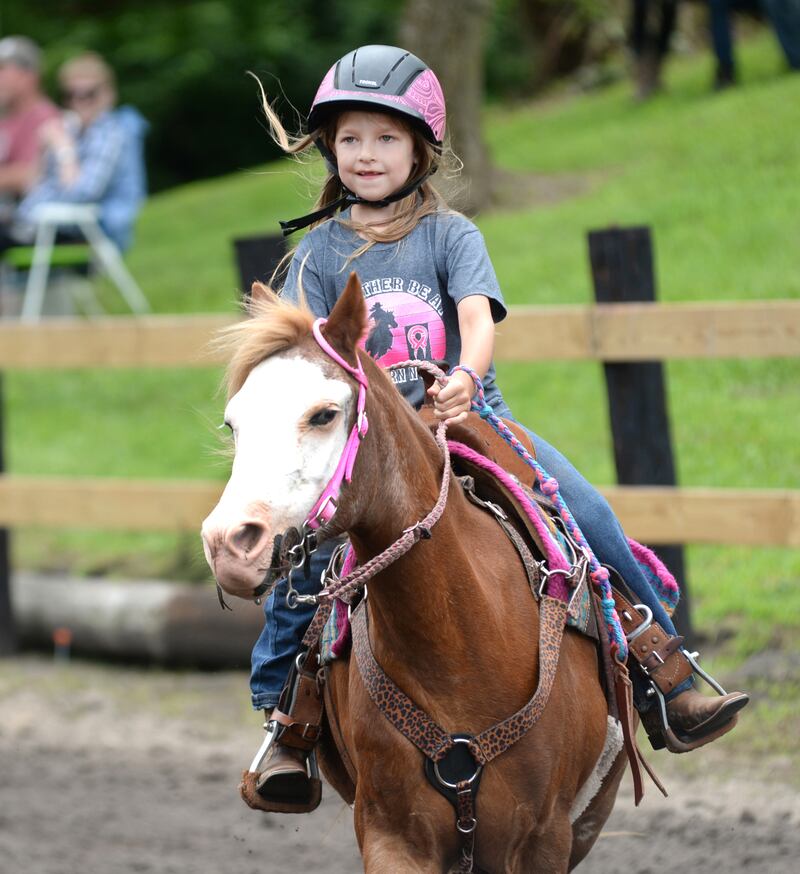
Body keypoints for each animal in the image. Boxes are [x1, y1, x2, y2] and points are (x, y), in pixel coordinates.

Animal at [201, 274, 627, 872]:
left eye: (324, 414)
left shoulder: (544, 837)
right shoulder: (392, 834)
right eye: (233, 423)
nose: (228, 544)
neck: (464, 639)